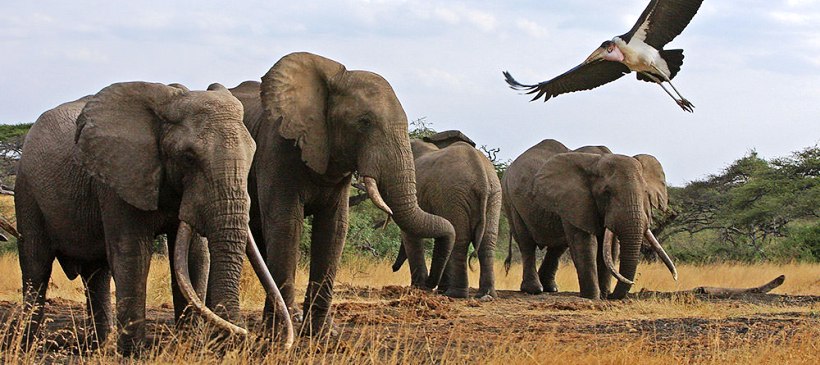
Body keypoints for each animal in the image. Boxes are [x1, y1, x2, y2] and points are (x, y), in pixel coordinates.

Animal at [14, 81, 294, 354]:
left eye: (252, 154)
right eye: (188, 157)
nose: (246, 337)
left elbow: (194, 258)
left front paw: (189, 349)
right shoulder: (119, 178)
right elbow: (133, 255)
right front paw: (133, 355)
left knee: (96, 275)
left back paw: (99, 348)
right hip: (26, 190)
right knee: (36, 266)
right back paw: (27, 347)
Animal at [224, 51, 454, 336]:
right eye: (364, 122)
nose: (430, 287)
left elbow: (335, 227)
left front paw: (323, 334)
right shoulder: (277, 147)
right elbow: (287, 224)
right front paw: (279, 334)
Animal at [390, 131, 500, 298]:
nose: (393, 268)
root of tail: (482, 179)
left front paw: (419, 288)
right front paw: (437, 289)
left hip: (454, 194)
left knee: (460, 240)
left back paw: (455, 294)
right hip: (493, 196)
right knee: (487, 242)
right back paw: (485, 295)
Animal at [502, 139, 676, 298]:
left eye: (645, 192)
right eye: (606, 192)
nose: (611, 296)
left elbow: (612, 247)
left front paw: (603, 295)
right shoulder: (576, 200)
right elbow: (585, 243)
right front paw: (592, 297)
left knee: (557, 247)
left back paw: (551, 289)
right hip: (510, 199)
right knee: (526, 243)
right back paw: (534, 290)